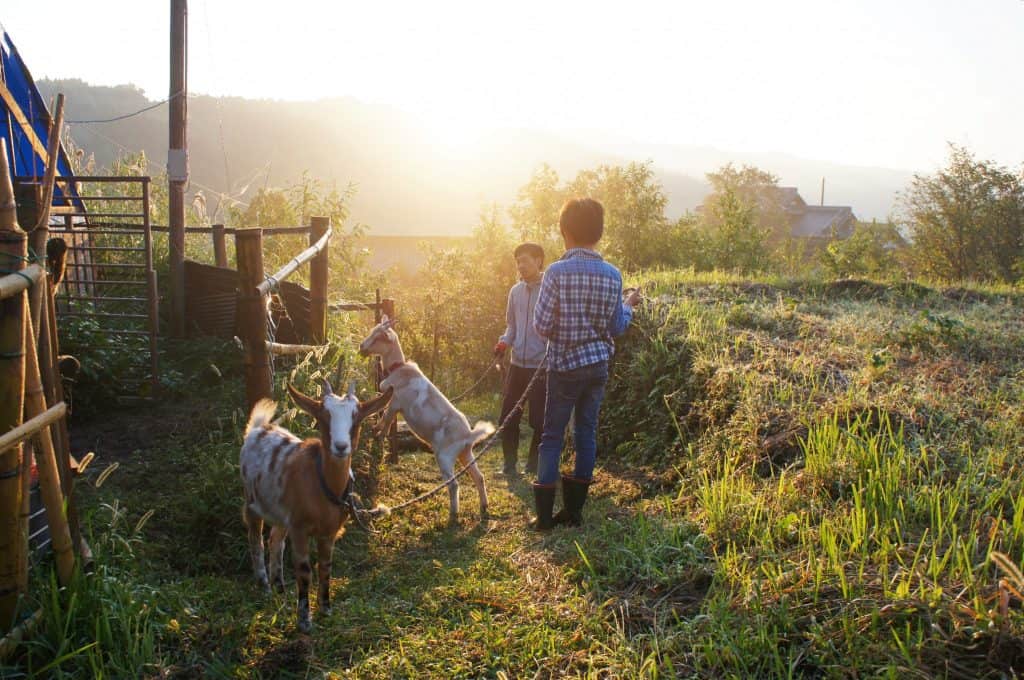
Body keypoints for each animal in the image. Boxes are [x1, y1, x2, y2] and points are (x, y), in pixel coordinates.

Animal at [239, 378, 391, 634]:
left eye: (356, 417)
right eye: (323, 416)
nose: (341, 446)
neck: (321, 482)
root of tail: (259, 428)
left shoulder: (327, 531)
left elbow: (325, 567)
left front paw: (326, 608)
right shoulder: (300, 528)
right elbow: (304, 570)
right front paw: (304, 620)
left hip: (283, 512)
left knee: (276, 540)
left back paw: (279, 586)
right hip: (251, 499)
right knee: (255, 538)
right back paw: (264, 584)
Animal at [358, 317, 493, 524]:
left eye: (378, 337)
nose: (361, 347)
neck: (399, 368)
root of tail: (468, 435)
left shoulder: (395, 402)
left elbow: (387, 419)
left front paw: (378, 435)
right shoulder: (394, 404)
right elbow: (385, 417)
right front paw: (376, 430)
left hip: (444, 456)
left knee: (454, 484)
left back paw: (453, 515)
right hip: (466, 454)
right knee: (479, 477)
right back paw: (484, 507)